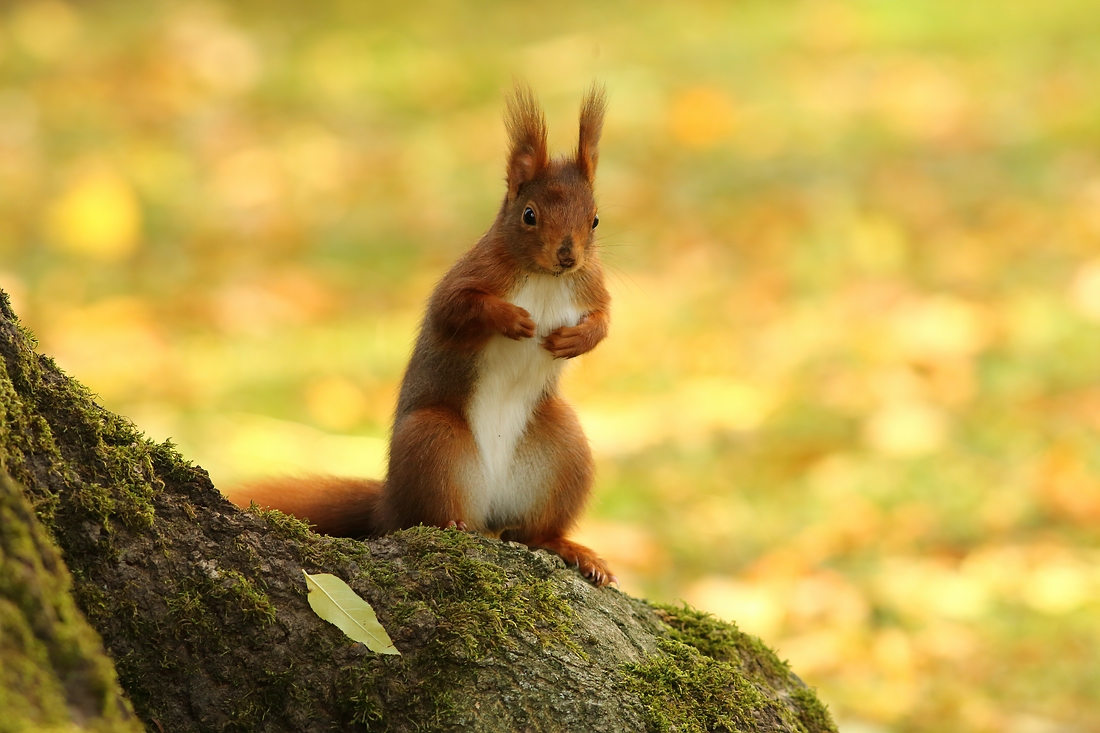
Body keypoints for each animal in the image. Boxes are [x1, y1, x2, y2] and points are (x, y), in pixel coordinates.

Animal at [226, 85, 616, 585]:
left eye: (595, 220)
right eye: (529, 215)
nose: (568, 256)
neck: (545, 278)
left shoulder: (591, 284)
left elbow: (604, 320)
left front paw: (576, 340)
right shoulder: (470, 277)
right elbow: (456, 309)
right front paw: (513, 320)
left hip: (562, 450)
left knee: (532, 534)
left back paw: (570, 549)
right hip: (433, 441)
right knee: (428, 518)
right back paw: (452, 524)